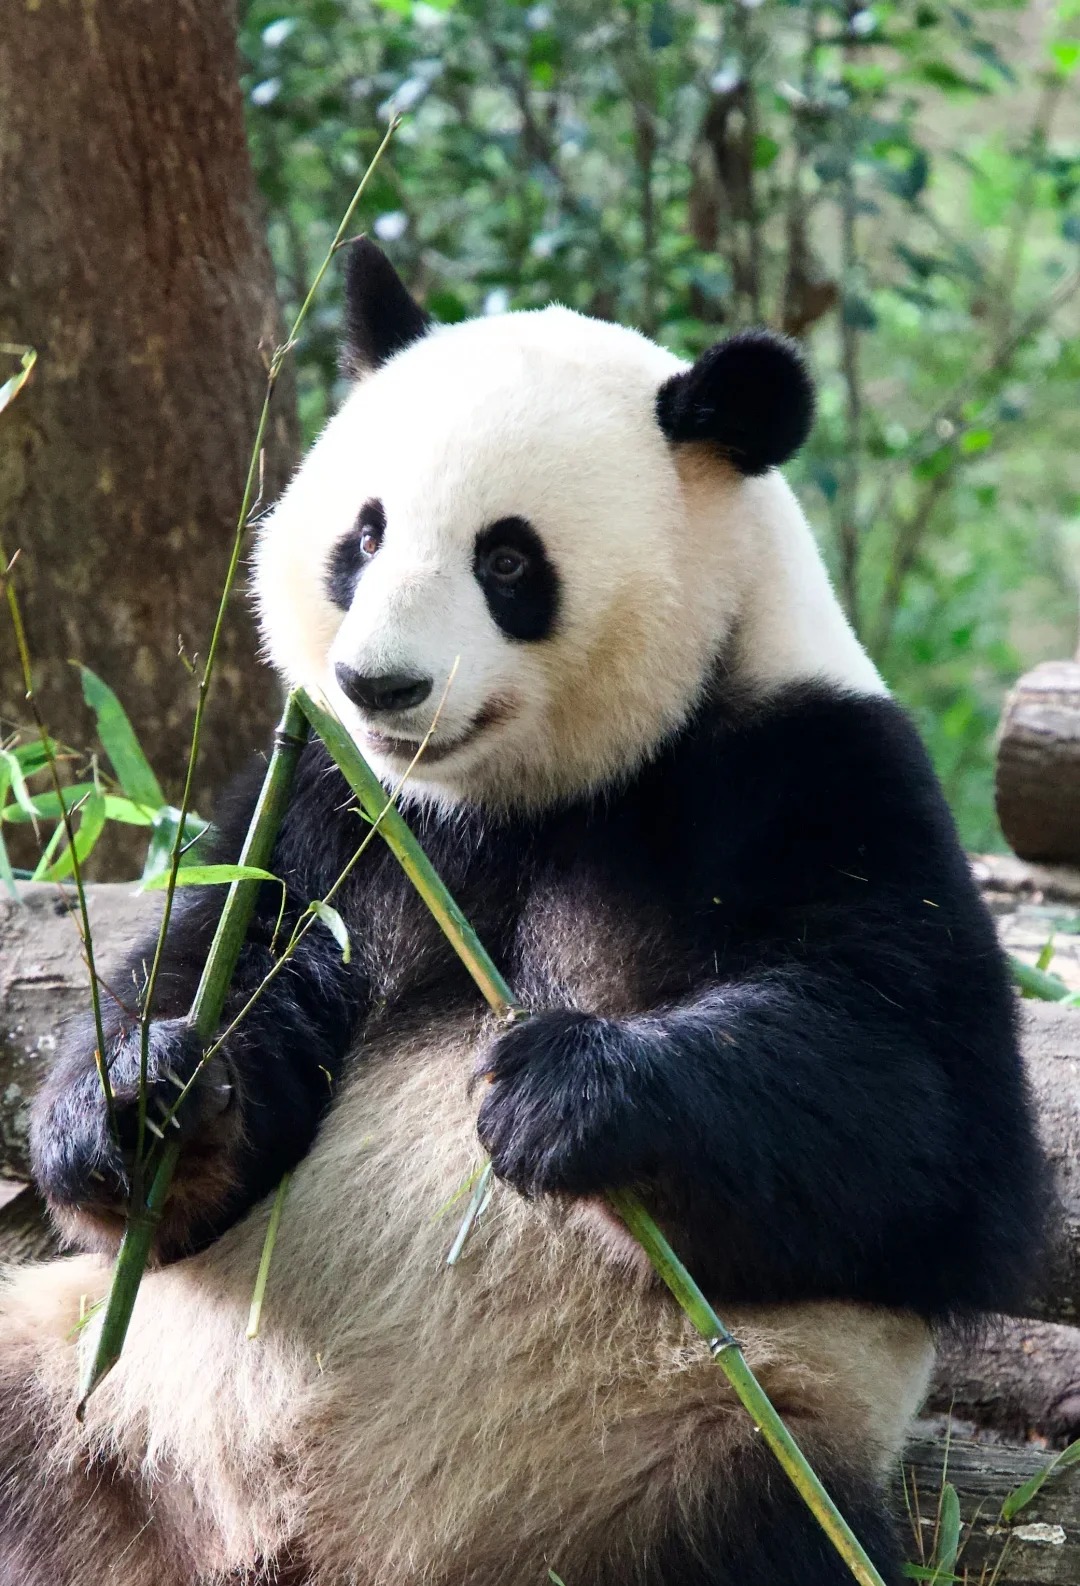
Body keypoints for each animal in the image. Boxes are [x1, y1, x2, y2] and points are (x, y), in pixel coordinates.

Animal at [1, 239, 1044, 1586]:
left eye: (508, 560)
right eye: (363, 534)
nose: (379, 682)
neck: (509, 801)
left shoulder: (811, 770)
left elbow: (937, 1125)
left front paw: (563, 1087)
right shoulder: (328, 802)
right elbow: (216, 964)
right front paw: (149, 1099)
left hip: (680, 1470)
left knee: (765, 1530)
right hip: (99, 1405)